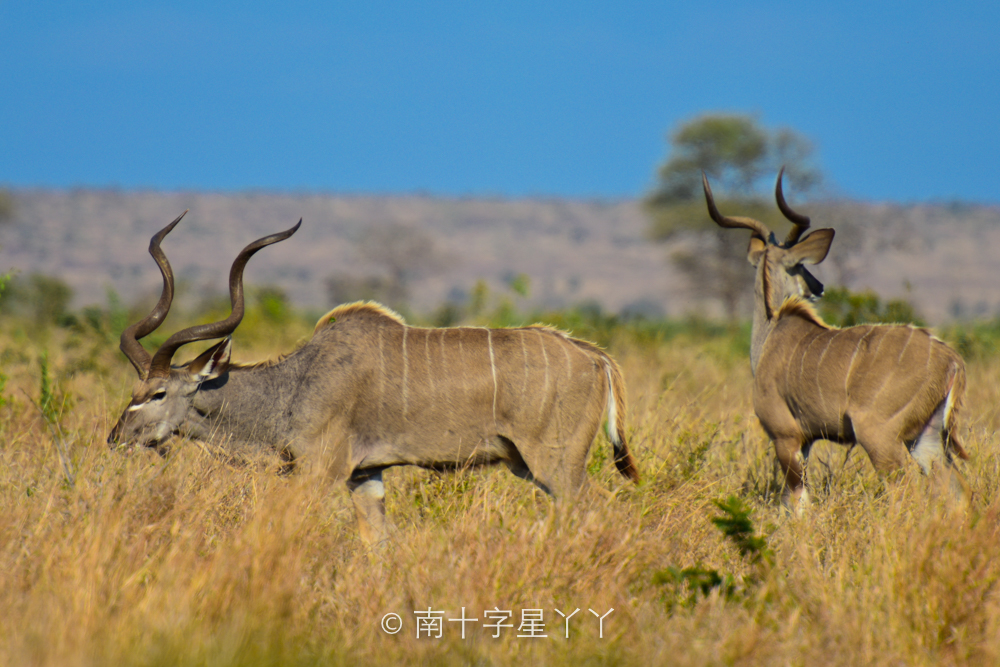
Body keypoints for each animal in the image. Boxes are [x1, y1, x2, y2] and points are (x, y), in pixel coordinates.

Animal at [109, 217, 640, 544]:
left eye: (157, 393)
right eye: (133, 391)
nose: (116, 439)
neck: (294, 384)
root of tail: (595, 357)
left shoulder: (319, 470)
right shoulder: (365, 476)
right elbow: (380, 542)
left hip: (556, 464)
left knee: (595, 513)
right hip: (527, 465)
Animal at [704, 170, 968, 508]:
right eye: (801, 266)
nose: (819, 287)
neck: (772, 332)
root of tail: (950, 359)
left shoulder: (786, 436)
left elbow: (798, 502)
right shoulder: (804, 441)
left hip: (879, 437)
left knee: (904, 489)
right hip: (927, 438)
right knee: (956, 490)